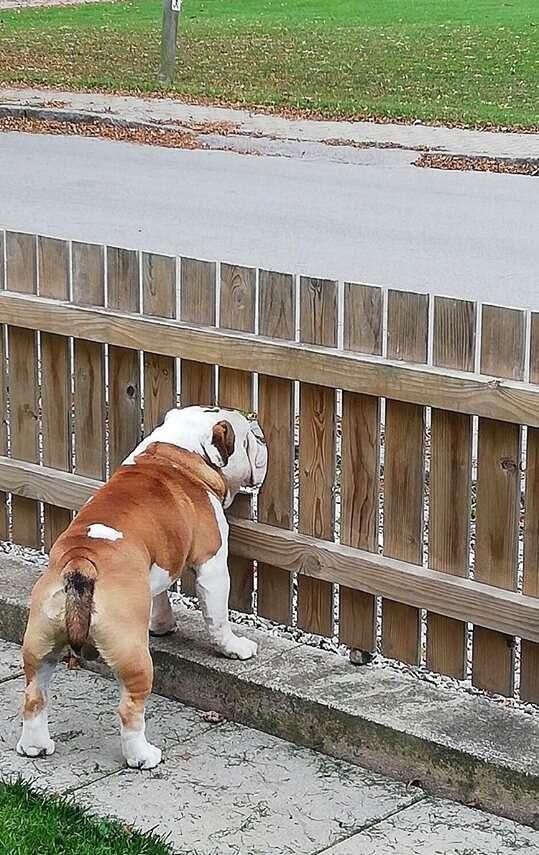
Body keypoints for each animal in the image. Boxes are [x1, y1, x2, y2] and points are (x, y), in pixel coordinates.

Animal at [15, 406, 268, 768]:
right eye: (251, 437)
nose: (258, 428)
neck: (179, 451)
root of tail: (81, 562)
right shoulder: (213, 564)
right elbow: (217, 617)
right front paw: (233, 648)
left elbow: (160, 595)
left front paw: (161, 625)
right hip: (133, 656)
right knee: (130, 709)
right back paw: (143, 756)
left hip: (40, 643)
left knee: (34, 696)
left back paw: (34, 746)